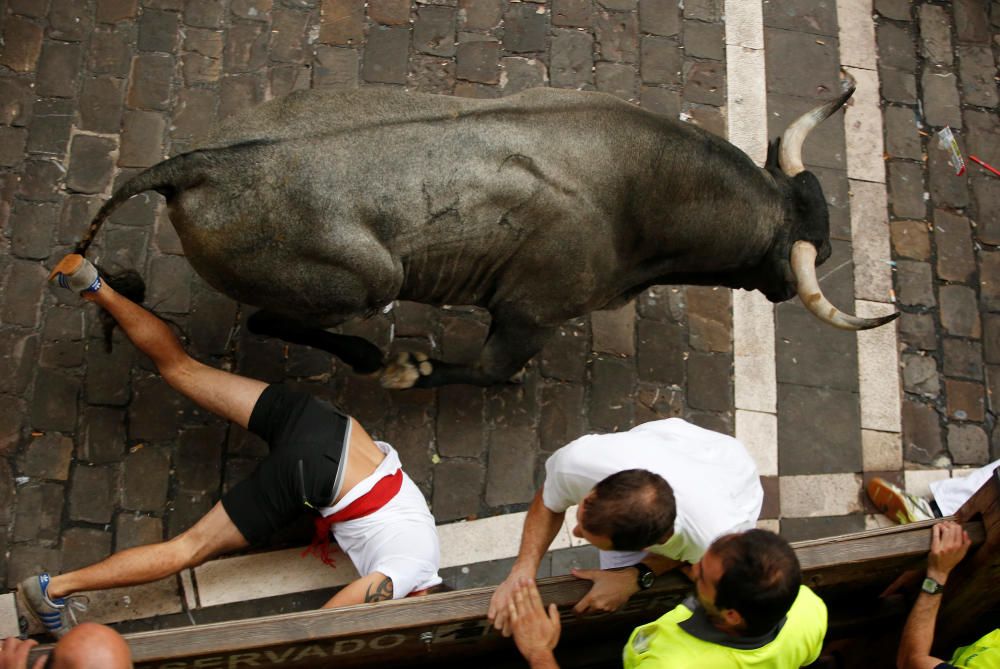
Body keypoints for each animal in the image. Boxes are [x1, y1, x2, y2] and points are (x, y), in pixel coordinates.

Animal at [74, 81, 896, 388]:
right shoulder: (530, 314)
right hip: (366, 282)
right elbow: (491, 371)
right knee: (274, 321)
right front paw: (409, 370)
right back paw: (369, 357)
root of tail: (195, 166)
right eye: (821, 251)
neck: (637, 187)